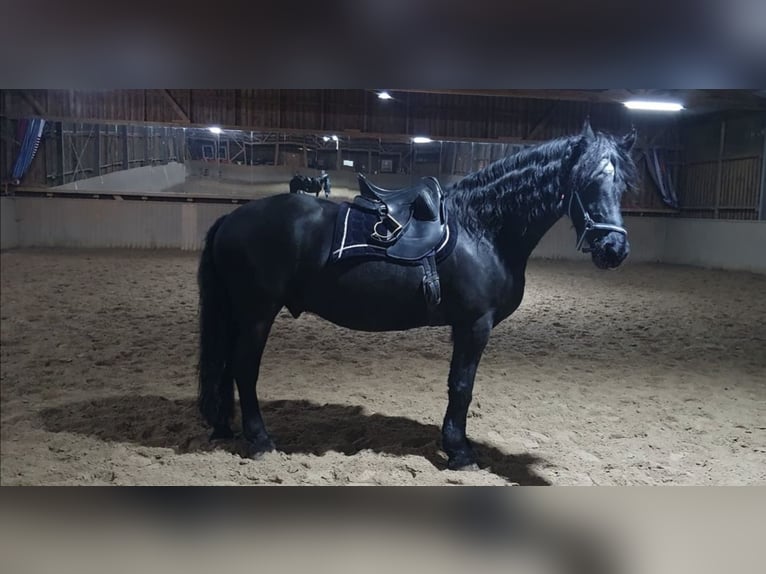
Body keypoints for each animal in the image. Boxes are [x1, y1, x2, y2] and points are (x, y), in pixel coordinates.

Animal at [198, 121, 638, 471]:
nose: (614, 249)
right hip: (258, 313)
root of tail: (231, 217)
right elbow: (462, 386)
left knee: (227, 367)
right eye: (586, 182)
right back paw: (260, 440)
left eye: (622, 185)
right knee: (244, 368)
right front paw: (460, 452)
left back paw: (225, 427)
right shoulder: (474, 325)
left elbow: (458, 385)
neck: (482, 227)